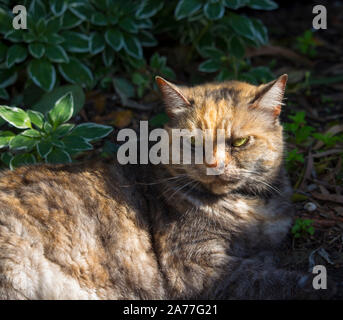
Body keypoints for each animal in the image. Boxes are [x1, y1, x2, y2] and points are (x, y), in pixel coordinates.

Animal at [0, 75, 336, 300]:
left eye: (239, 142)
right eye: (194, 143)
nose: (214, 164)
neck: (250, 209)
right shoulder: (196, 266)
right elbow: (268, 279)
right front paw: (324, 283)